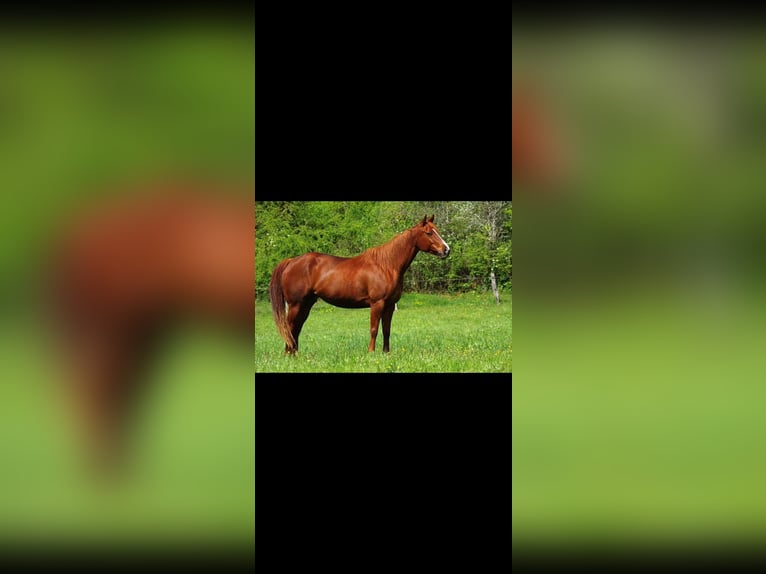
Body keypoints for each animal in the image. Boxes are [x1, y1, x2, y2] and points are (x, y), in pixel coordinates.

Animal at [268, 215, 450, 354]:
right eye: (428, 233)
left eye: (438, 231)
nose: (447, 250)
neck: (386, 265)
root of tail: (292, 261)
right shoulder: (377, 303)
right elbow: (374, 329)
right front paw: (371, 353)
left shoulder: (390, 305)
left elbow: (386, 330)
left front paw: (386, 353)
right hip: (295, 304)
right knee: (290, 327)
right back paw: (288, 354)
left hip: (306, 304)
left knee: (296, 328)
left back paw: (295, 354)